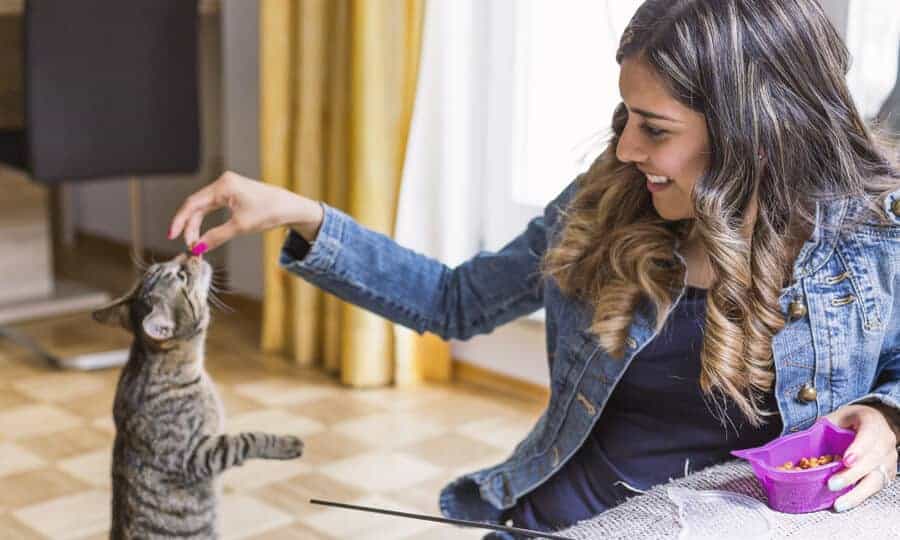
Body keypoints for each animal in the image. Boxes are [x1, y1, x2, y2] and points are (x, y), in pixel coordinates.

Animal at [93, 254, 306, 540]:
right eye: (181, 275)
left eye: (166, 263)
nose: (189, 253)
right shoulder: (195, 454)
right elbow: (247, 439)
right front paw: (286, 444)